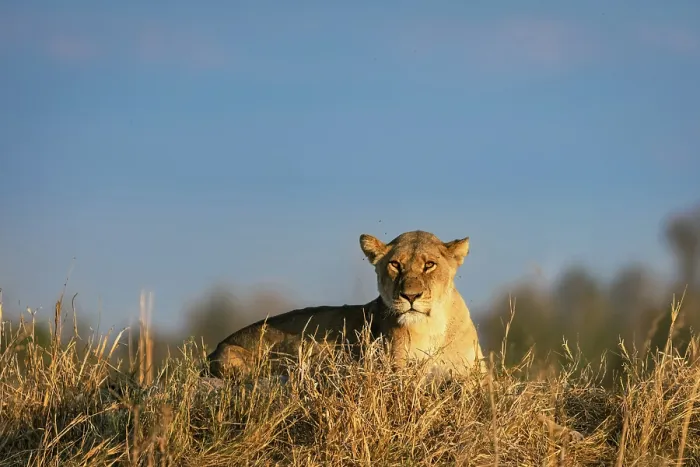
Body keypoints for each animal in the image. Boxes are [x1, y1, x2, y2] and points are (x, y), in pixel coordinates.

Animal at [206, 230, 485, 379]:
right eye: (395, 264)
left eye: (429, 265)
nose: (410, 296)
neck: (431, 326)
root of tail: (215, 349)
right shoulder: (395, 371)